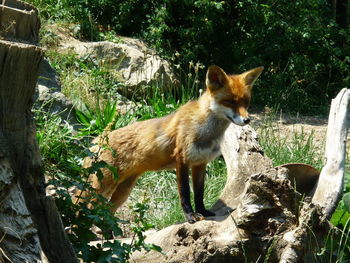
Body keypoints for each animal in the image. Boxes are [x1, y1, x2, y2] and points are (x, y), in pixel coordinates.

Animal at [81, 65, 262, 223]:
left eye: (246, 102)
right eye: (230, 101)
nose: (247, 120)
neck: (205, 131)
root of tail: (95, 141)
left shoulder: (200, 163)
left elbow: (199, 193)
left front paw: (203, 211)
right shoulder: (181, 160)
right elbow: (185, 193)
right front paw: (190, 216)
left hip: (123, 190)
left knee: (107, 214)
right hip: (100, 187)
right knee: (84, 207)